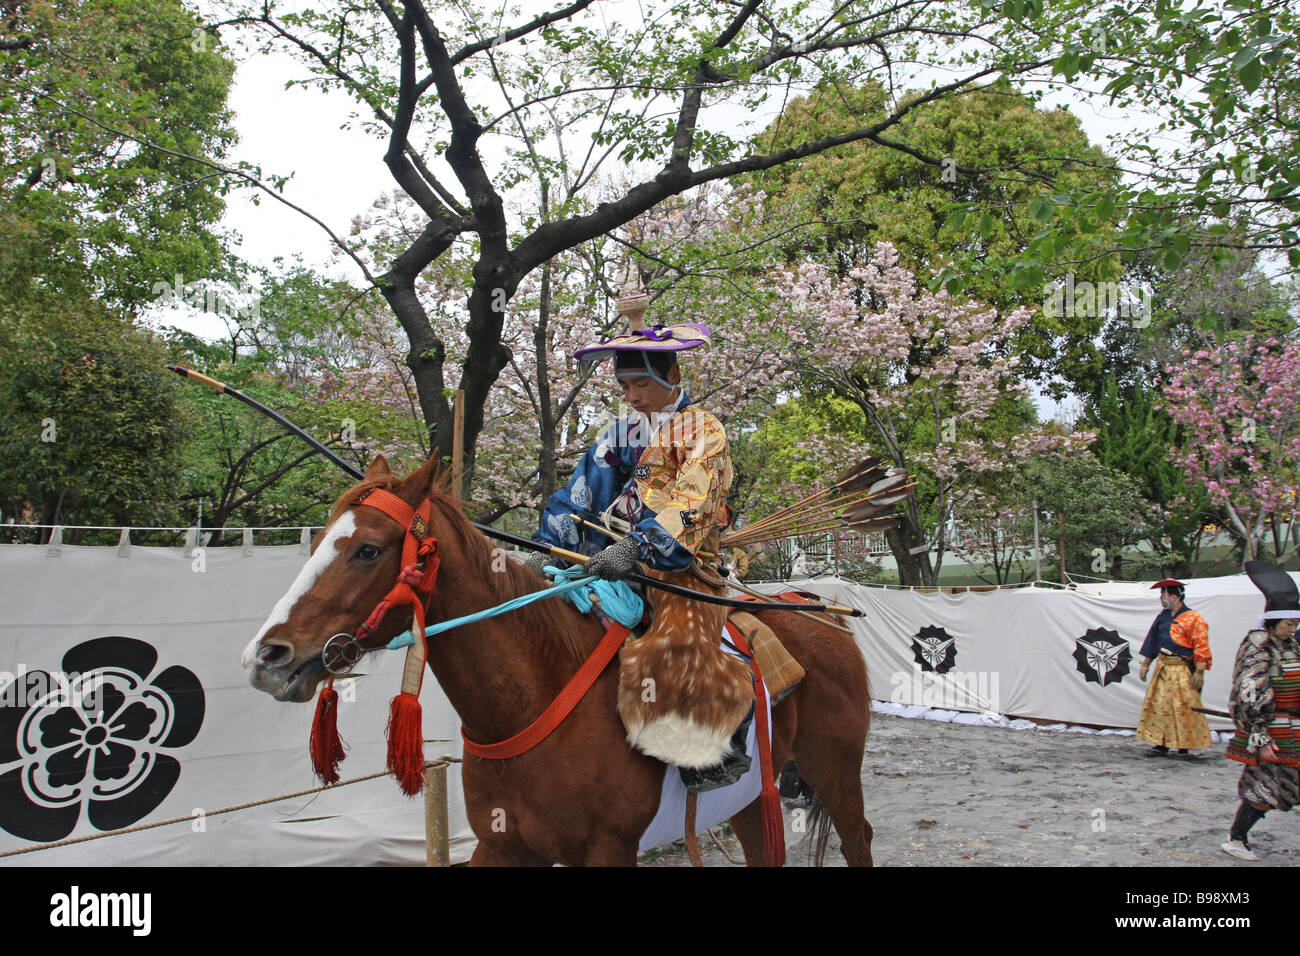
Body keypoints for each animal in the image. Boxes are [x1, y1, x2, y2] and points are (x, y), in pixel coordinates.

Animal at [244, 455, 873, 868]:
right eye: (317, 541)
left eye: (368, 550)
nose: (266, 656)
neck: (532, 698)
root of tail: (817, 610)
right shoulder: (500, 845)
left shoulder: (608, 849)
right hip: (753, 796)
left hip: (834, 766)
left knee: (858, 836)